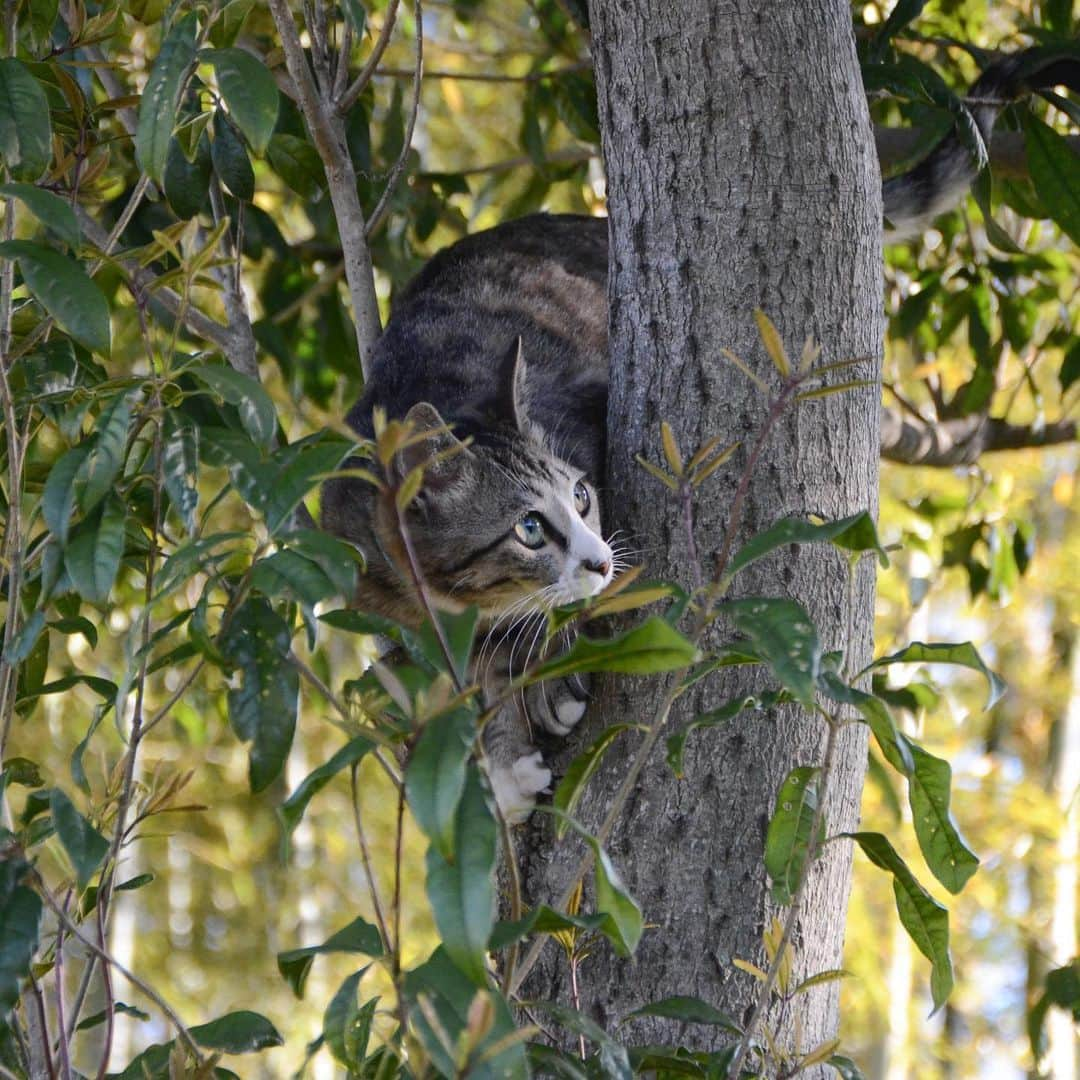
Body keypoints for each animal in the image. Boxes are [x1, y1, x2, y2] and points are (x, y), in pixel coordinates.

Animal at [317, 44, 1062, 816]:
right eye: (528, 528)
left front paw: (546, 672)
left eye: (581, 497)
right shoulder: (368, 587)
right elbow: (453, 674)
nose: (598, 560)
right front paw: (500, 753)